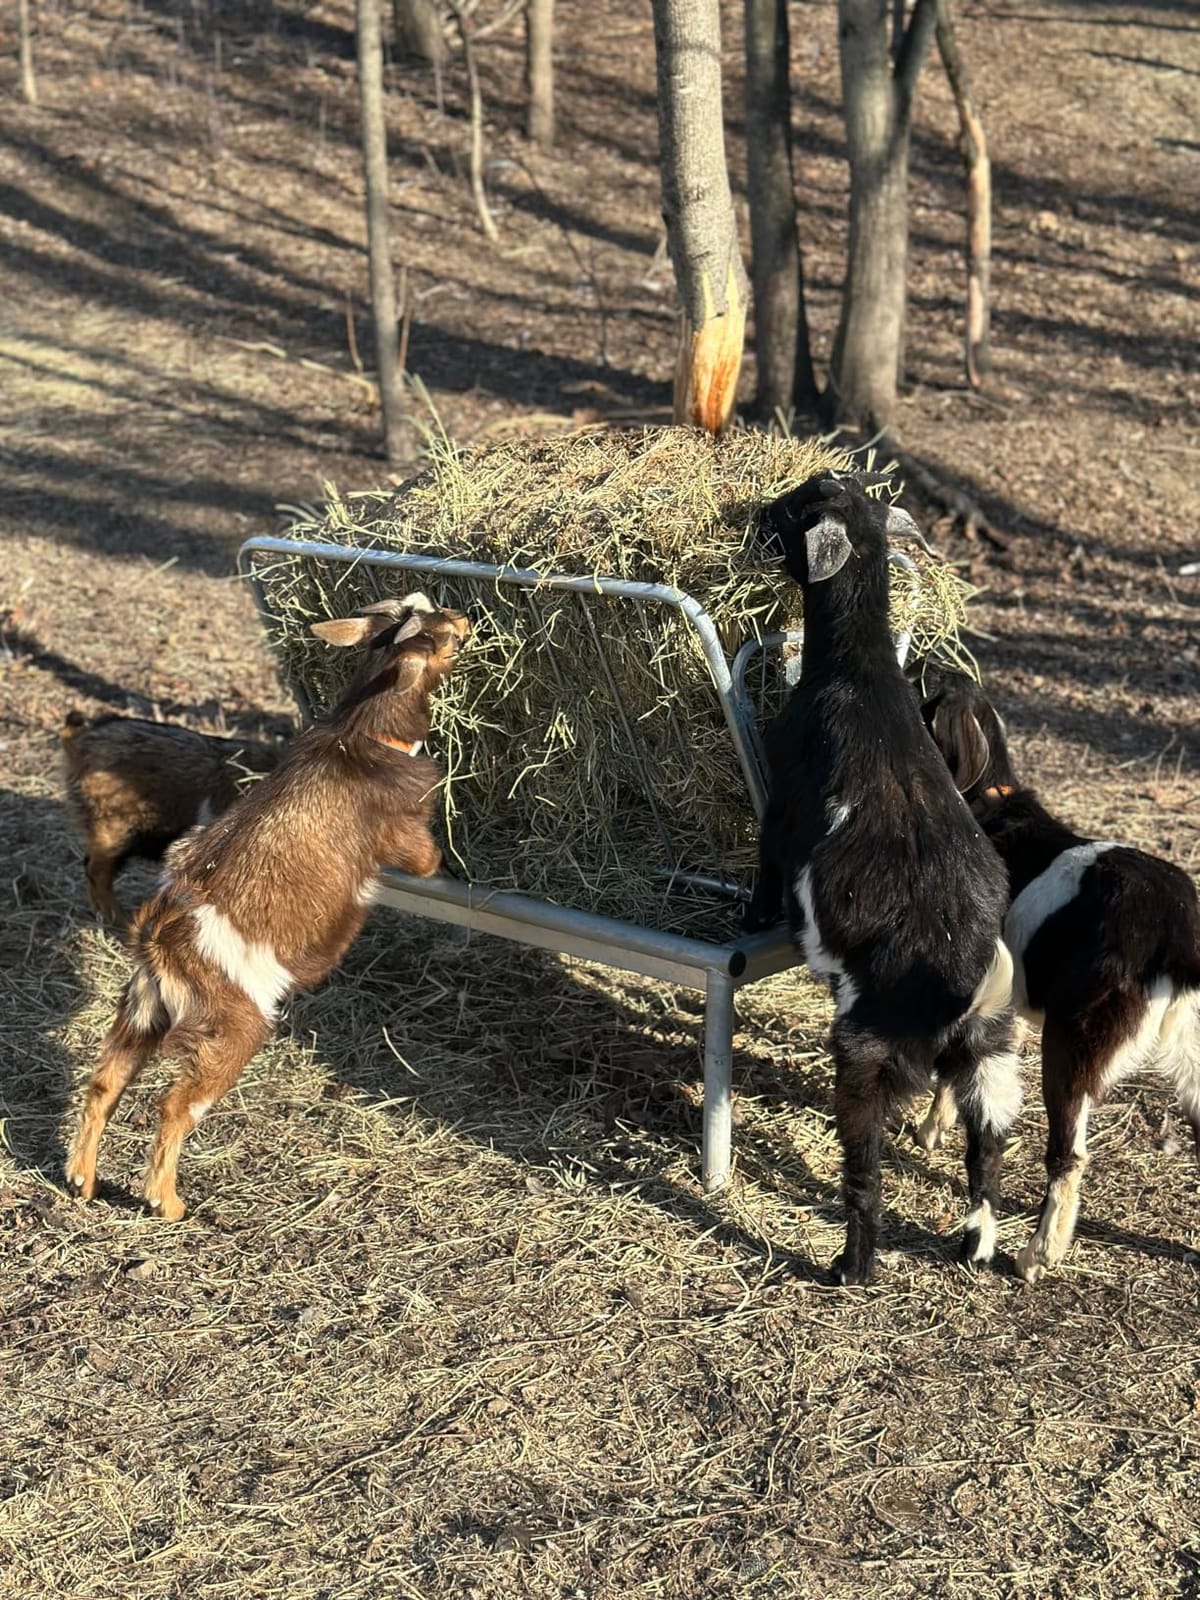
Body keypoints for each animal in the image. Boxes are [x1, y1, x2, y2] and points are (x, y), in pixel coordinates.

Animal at [745, 473, 1021, 1285]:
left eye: (797, 508)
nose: (754, 513)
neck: (859, 671)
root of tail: (959, 989)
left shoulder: (783, 804)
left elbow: (765, 867)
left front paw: (749, 919)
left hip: (868, 1050)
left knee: (864, 1168)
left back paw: (850, 1267)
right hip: (992, 1053)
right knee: (987, 1153)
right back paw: (973, 1246)